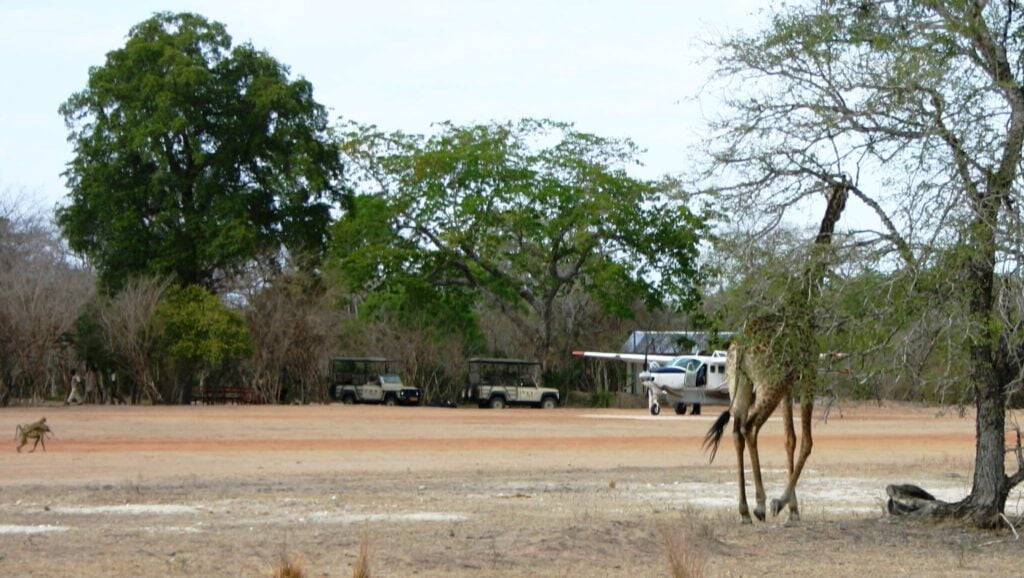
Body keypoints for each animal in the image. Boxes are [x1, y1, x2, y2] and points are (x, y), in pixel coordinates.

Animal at [704, 179, 847, 524]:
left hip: (741, 383)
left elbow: (789, 439)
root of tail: (741, 346)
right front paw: (781, 503)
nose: (840, 206)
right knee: (750, 426)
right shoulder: (808, 374)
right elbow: (807, 441)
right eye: (841, 196)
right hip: (768, 383)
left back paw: (743, 509)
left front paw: (793, 509)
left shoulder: (789, 386)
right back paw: (759, 503)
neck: (806, 301)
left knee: (737, 430)